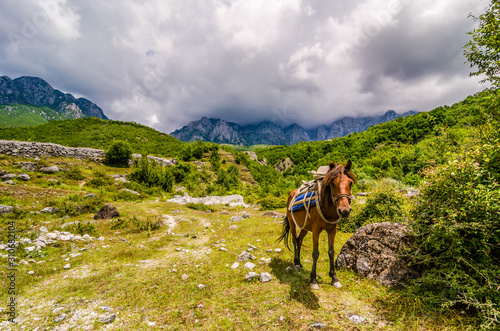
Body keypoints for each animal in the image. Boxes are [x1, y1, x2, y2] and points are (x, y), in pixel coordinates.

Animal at [278, 161, 356, 290]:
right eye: (332, 183)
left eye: (350, 183)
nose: (344, 211)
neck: (327, 208)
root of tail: (292, 193)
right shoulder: (316, 229)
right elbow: (315, 253)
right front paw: (313, 280)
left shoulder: (332, 229)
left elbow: (331, 251)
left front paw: (334, 278)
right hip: (293, 223)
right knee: (294, 240)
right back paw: (296, 263)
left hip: (304, 227)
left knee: (299, 240)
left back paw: (299, 263)